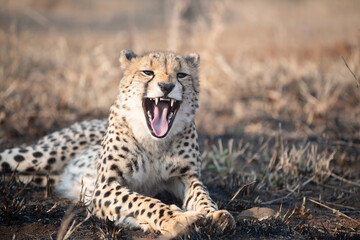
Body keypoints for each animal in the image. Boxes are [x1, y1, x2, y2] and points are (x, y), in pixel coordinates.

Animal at [0, 49, 235, 239]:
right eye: (147, 72)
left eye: (181, 75)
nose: (166, 86)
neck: (154, 142)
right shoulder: (104, 186)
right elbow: (142, 201)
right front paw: (178, 219)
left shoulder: (185, 175)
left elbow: (202, 194)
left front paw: (214, 214)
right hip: (41, 156)